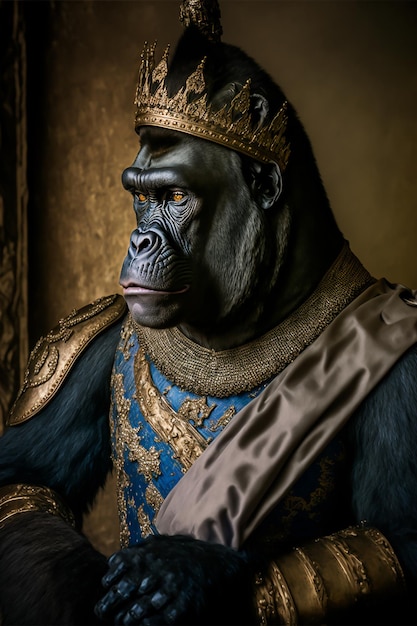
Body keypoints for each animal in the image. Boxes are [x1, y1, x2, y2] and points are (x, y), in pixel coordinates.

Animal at [0, 1, 416, 624]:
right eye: (139, 196)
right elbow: (24, 485)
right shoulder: (86, 336)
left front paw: (189, 571)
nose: (139, 240)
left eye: (174, 197)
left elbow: (398, 541)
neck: (233, 334)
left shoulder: (407, 375)